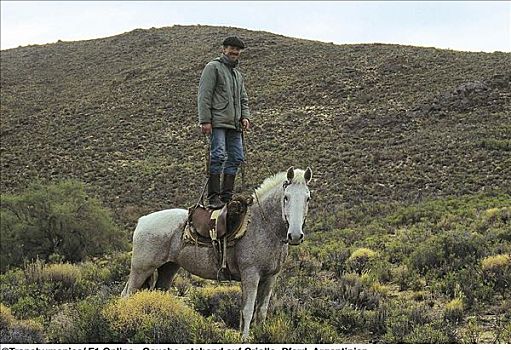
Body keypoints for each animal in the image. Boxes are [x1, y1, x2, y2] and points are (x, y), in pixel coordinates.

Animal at [122, 167, 314, 340]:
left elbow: (261, 311)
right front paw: (245, 338)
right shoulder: (251, 275)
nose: (295, 235)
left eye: (307, 198)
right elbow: (248, 310)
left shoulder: (269, 278)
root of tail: (142, 221)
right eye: (286, 197)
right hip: (141, 269)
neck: (262, 225)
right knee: (127, 295)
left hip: (168, 269)